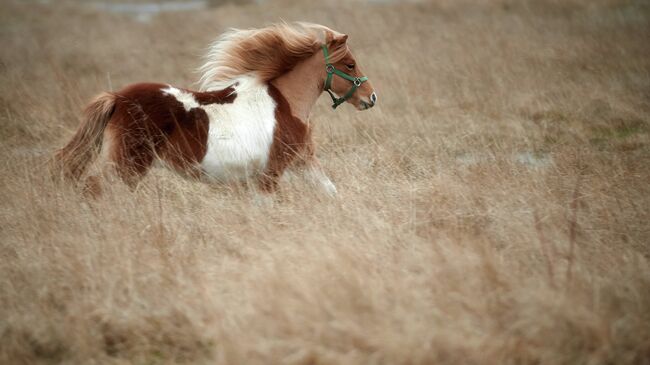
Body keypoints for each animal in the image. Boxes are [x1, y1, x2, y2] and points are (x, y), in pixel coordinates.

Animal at [53, 22, 378, 193]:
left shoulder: (302, 161)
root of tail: (117, 98)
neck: (286, 104)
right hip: (128, 164)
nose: (371, 97)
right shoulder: (271, 175)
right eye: (350, 64)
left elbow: (329, 191)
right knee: (95, 187)